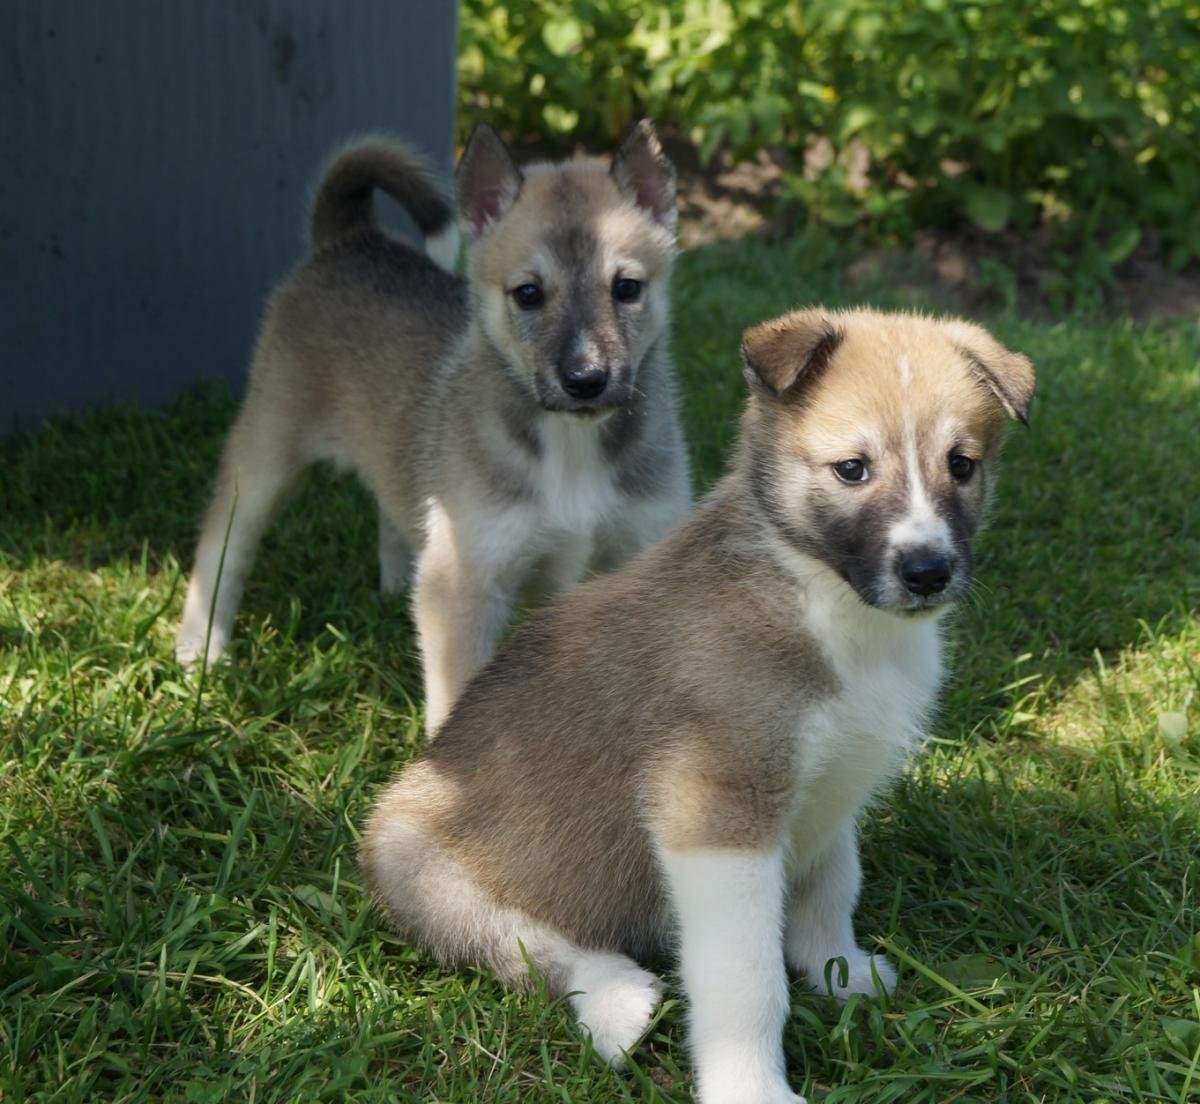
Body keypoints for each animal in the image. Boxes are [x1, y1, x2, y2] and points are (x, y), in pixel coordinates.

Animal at [174, 123, 691, 734]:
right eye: (528, 293)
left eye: (627, 288)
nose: (586, 380)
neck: (570, 444)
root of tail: (349, 238)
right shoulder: (463, 585)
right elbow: (455, 701)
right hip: (266, 449)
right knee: (222, 545)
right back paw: (200, 648)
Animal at [360, 307, 1036, 1104]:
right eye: (852, 468)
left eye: (962, 464)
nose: (928, 570)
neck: (818, 599)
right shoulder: (716, 810)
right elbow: (745, 978)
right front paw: (752, 1087)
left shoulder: (833, 784)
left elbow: (831, 887)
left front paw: (839, 972)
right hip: (412, 859)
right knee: (521, 942)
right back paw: (615, 1001)